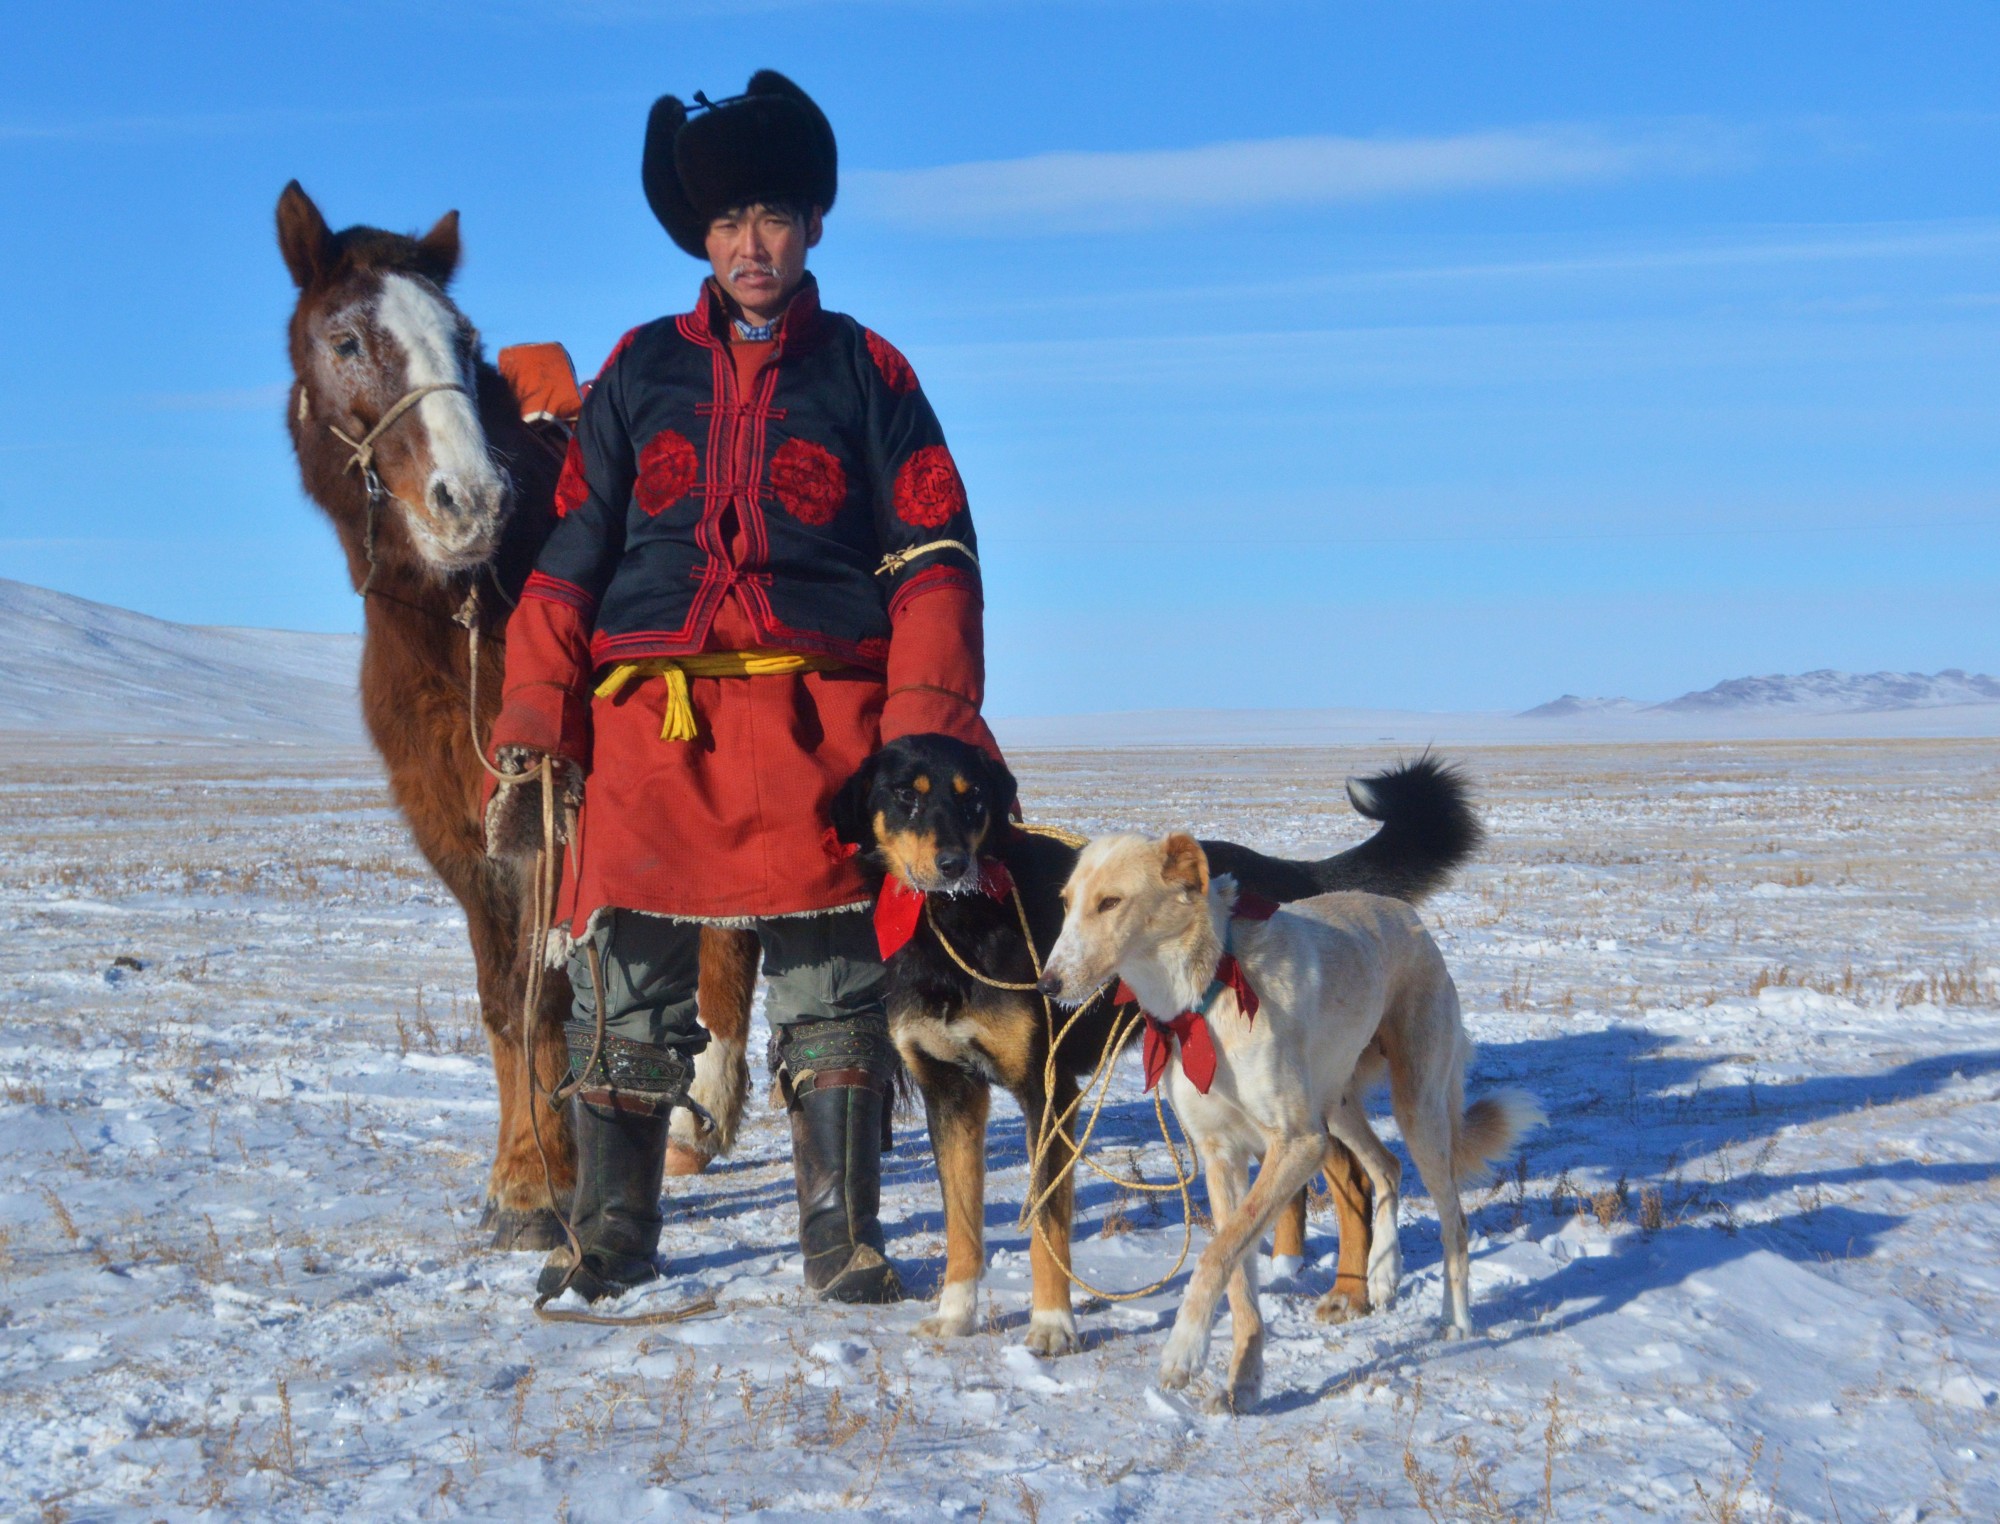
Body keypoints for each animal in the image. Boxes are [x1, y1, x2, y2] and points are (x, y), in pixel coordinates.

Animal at [274, 181, 756, 1248]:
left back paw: (704, 1117)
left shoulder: (547, 816)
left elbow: (543, 997)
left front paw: (545, 1186)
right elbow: (503, 1001)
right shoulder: (457, 833)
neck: (462, 618)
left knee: (736, 934)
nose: (470, 501)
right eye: (346, 340)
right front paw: (515, 1180)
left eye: (462, 339)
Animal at [832, 732, 1488, 1344]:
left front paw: (1052, 1325)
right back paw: (1293, 1266)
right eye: (906, 796)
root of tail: (1293, 872)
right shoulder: (950, 1091)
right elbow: (962, 1222)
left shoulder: (1048, 1092)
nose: (952, 864)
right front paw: (956, 1312)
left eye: (972, 799)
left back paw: (1349, 1290)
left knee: (1352, 1179)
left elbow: (1048, 1225)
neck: (955, 931)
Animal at [1040, 824, 1536, 1408]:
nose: (1047, 984)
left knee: (1453, 1221)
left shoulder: (1297, 1145)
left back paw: (1455, 1319)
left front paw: (1184, 1347)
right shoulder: (1223, 1157)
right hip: (1336, 1108)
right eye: (1065, 903)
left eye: (1110, 902)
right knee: (1386, 1167)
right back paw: (1383, 1272)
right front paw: (1245, 1379)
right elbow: (1237, 1275)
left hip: (1415, 1109)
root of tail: (1405, 914)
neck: (1206, 992)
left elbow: (1215, 1256)